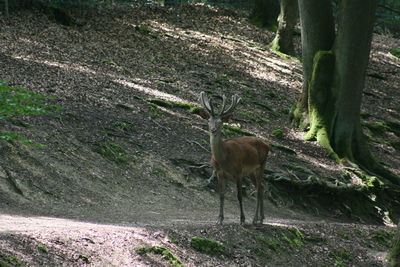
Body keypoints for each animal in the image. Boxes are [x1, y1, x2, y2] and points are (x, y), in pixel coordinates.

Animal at [199, 92, 270, 226]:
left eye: (220, 121)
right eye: (209, 120)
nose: (213, 130)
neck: (224, 160)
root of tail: (267, 145)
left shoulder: (238, 172)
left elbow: (239, 195)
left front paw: (242, 219)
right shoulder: (220, 173)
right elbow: (221, 195)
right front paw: (219, 219)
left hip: (262, 165)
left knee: (259, 189)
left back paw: (255, 219)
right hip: (251, 172)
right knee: (261, 187)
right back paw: (261, 218)